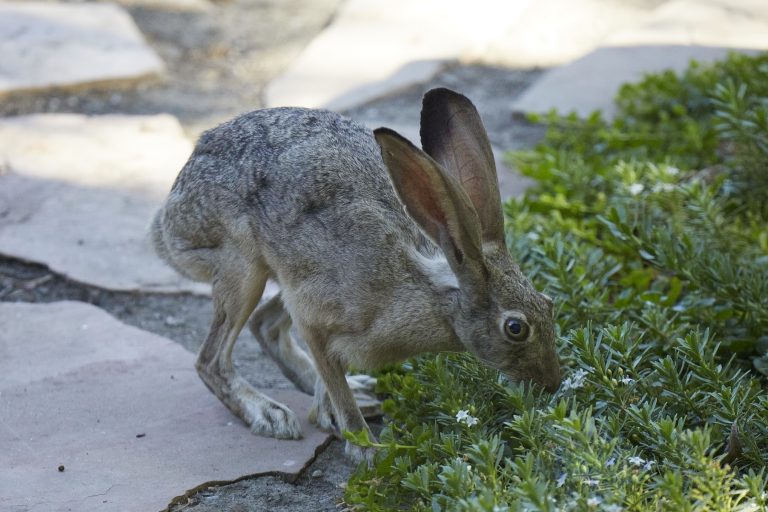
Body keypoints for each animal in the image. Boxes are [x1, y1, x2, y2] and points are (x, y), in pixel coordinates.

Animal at [151, 88, 561, 462]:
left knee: (264, 323)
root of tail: (169, 217)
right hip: (242, 267)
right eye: (515, 328)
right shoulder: (314, 317)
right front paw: (365, 450)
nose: (552, 384)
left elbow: (328, 378)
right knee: (211, 360)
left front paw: (331, 415)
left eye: (548, 303)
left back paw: (357, 392)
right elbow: (333, 382)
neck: (432, 293)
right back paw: (269, 414)